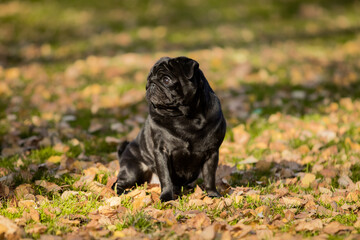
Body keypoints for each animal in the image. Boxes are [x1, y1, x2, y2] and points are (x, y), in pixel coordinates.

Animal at [114, 56, 226, 201]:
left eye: (166, 80)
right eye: (148, 80)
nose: (151, 85)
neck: (186, 117)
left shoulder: (212, 152)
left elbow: (209, 177)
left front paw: (213, 194)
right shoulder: (162, 151)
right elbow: (166, 177)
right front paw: (166, 197)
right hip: (133, 169)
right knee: (118, 183)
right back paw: (124, 194)